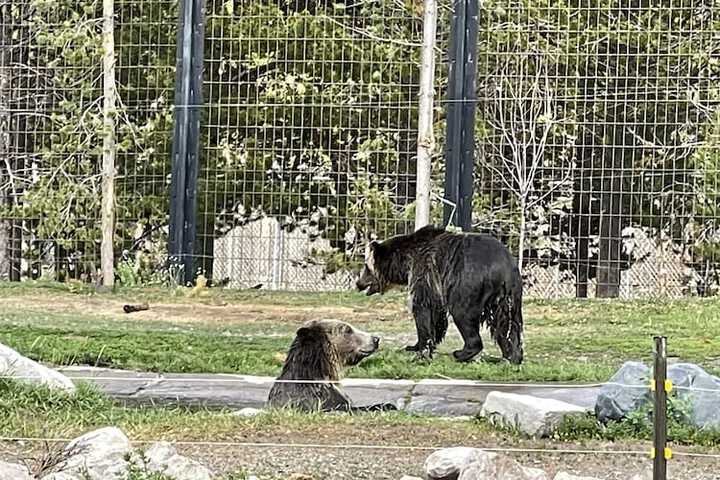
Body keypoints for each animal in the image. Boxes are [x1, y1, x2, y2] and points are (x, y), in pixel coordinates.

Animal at [355, 224, 523, 364]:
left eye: (366, 267)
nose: (358, 283)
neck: (405, 262)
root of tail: (504, 267)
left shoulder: (424, 272)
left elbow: (422, 310)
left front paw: (422, 351)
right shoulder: (436, 286)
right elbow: (436, 315)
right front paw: (414, 346)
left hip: (468, 284)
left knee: (463, 315)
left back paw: (461, 353)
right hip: (508, 296)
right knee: (507, 323)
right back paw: (512, 356)